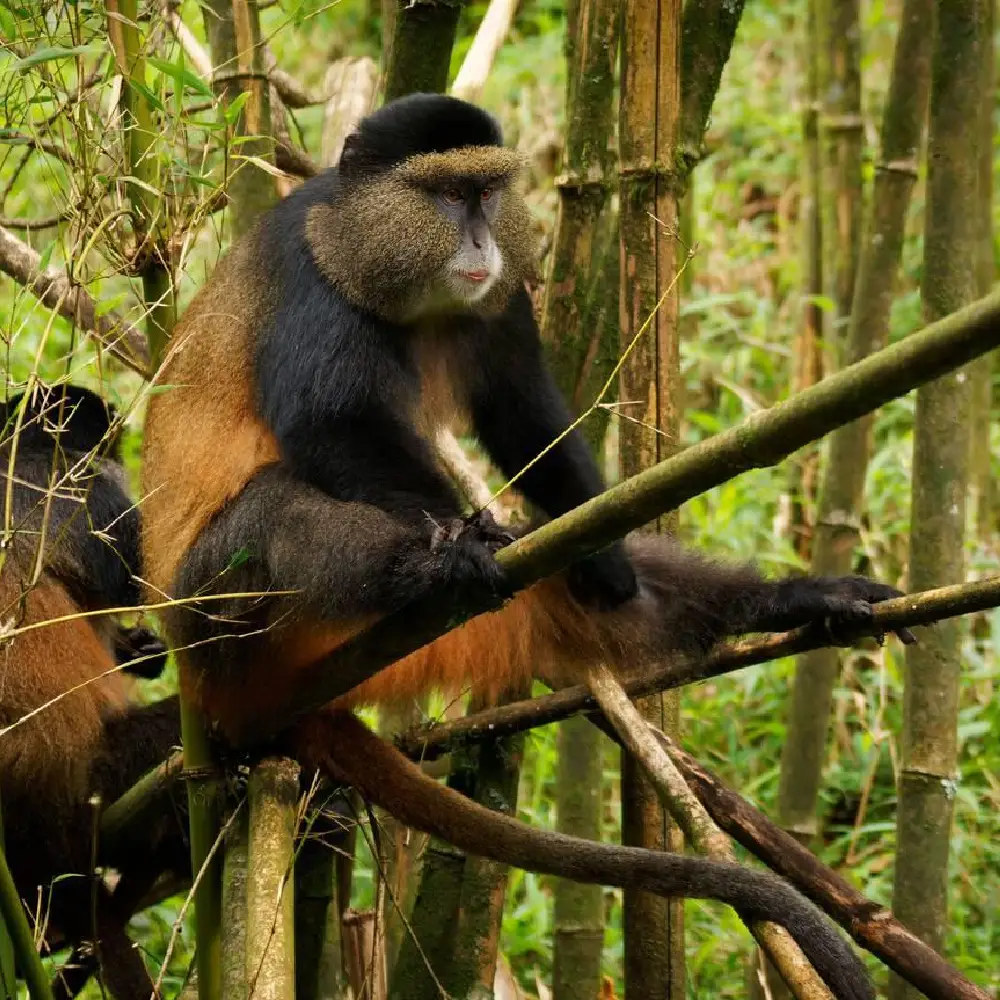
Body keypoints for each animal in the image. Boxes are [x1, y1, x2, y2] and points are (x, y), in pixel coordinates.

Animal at [141, 93, 907, 1000]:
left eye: (486, 192)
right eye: (444, 196)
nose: (479, 243)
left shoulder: (503, 303)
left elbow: (522, 410)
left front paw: (611, 558)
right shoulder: (312, 282)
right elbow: (329, 424)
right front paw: (456, 545)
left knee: (603, 592)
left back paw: (782, 601)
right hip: (213, 619)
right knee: (277, 510)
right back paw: (429, 571)